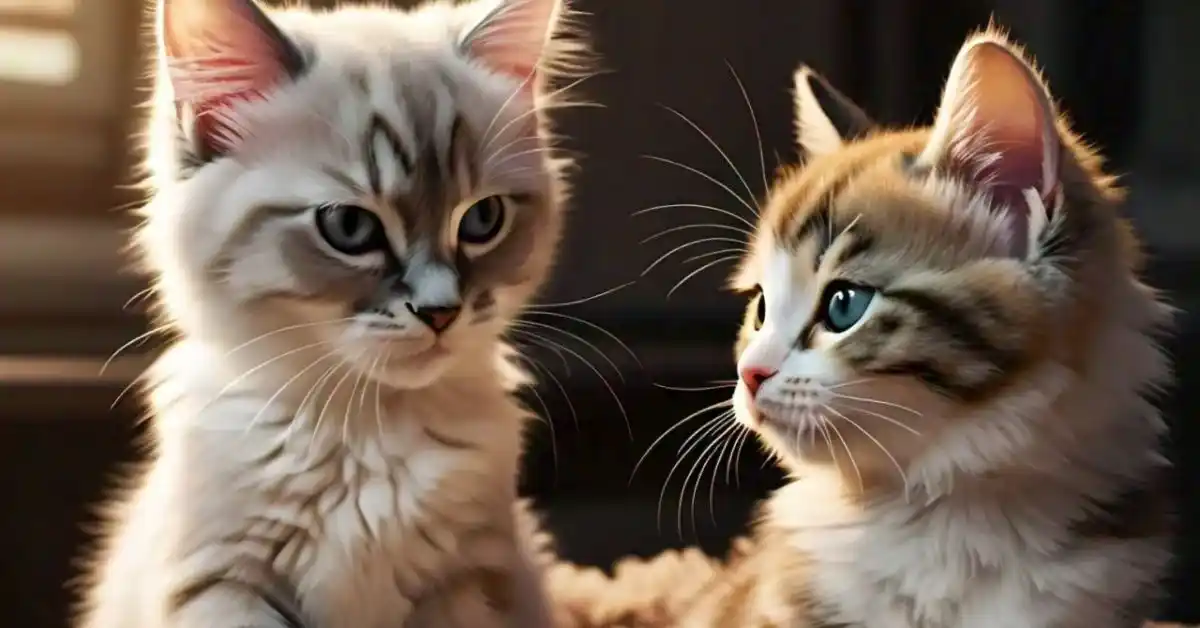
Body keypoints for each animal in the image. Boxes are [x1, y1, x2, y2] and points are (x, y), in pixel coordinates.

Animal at [73, 1, 585, 628]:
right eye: (350, 227)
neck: (363, 431)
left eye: (483, 220)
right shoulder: (223, 584)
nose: (441, 312)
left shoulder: (469, 584)